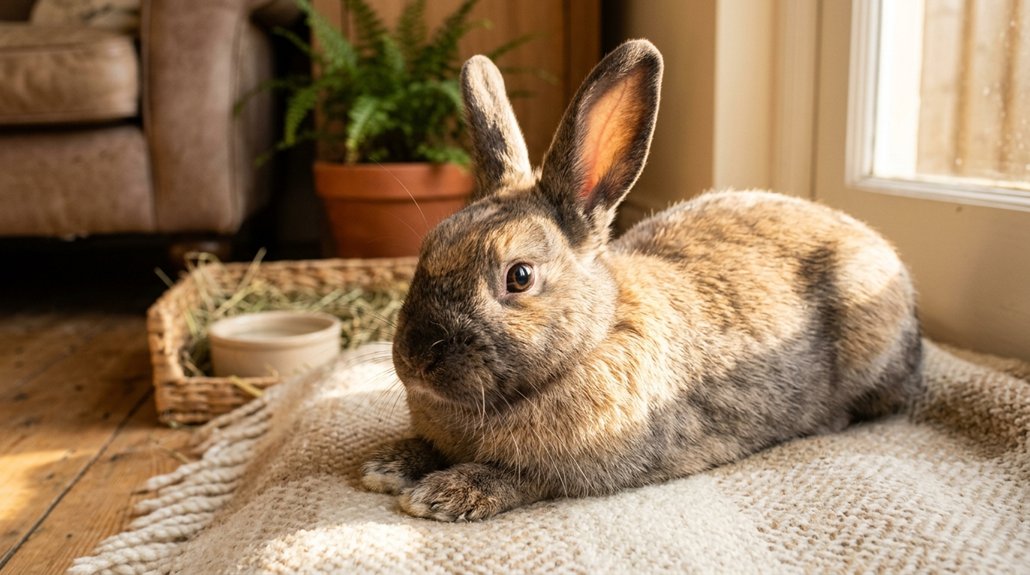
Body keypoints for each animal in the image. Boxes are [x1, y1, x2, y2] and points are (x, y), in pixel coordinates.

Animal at [360, 39, 923, 522]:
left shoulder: (577, 470)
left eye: (519, 277)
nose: (415, 359)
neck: (592, 340)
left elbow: (517, 478)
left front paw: (441, 494)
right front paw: (387, 465)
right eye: (428, 247)